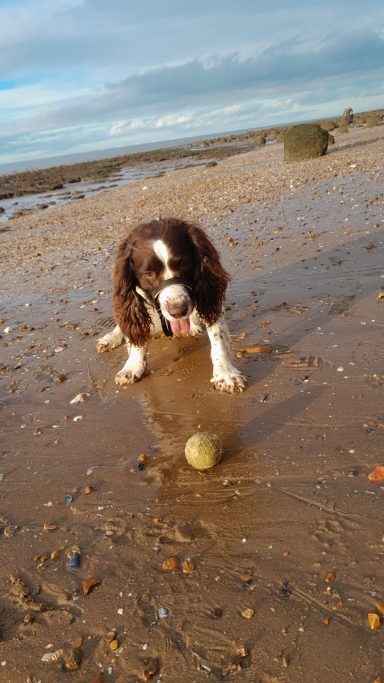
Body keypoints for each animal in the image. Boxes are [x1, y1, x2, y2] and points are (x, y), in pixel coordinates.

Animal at [96, 216, 246, 392]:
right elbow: (135, 336)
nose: (178, 311)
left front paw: (226, 374)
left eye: (184, 263)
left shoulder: (209, 296)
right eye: (148, 273)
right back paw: (109, 339)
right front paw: (133, 366)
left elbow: (218, 336)